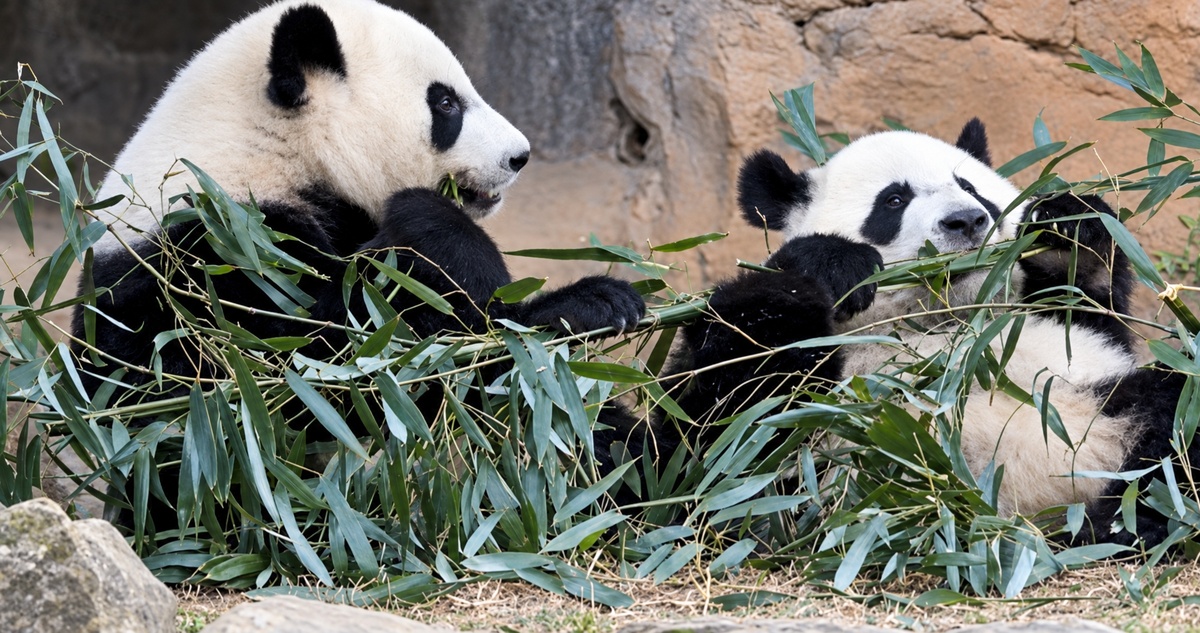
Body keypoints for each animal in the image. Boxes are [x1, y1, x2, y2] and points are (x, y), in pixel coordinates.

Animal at [72, 0, 645, 407]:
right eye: (445, 103)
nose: (519, 156)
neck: (269, 152)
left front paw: (607, 301)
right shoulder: (207, 256)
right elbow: (319, 373)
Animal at [667, 119, 1192, 546]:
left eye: (971, 187)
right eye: (894, 200)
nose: (966, 221)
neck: (935, 318)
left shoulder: (1062, 339)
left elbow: (1086, 308)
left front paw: (1067, 225)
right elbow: (711, 451)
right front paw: (832, 263)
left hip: (1098, 406)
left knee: (1173, 418)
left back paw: (1135, 520)